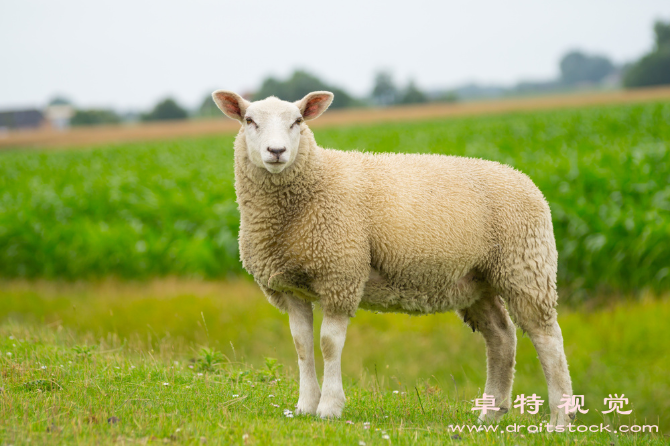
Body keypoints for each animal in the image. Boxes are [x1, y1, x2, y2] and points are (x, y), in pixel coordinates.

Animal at [211, 89, 576, 426]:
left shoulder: (341, 275)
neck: (314, 183)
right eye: (249, 121)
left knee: (548, 339)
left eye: (298, 121)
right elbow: (301, 344)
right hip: (476, 281)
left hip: (525, 267)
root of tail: (526, 180)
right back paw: (491, 413)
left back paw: (559, 419)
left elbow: (329, 344)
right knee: (502, 336)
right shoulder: (292, 287)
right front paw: (305, 406)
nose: (276, 152)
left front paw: (329, 408)